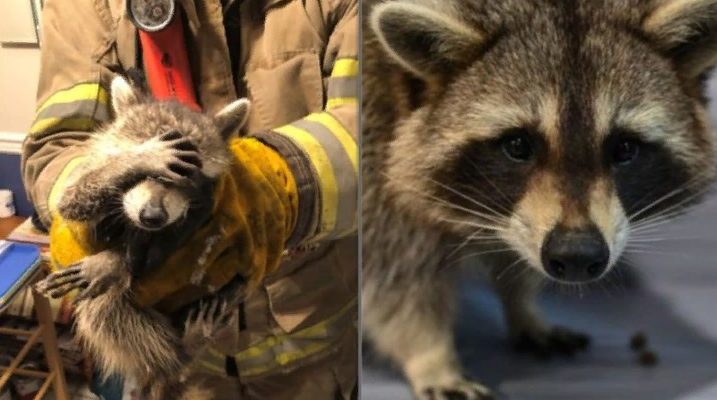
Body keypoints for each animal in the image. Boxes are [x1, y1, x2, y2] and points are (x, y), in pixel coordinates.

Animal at [35, 76, 252, 400]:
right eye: (137, 174)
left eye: (189, 176)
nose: (152, 216)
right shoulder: (84, 185)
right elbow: (73, 199)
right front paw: (138, 159)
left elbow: (172, 241)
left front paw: (117, 260)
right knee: (106, 311)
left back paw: (187, 348)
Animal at [364, 1, 716, 398]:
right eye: (518, 145)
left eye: (625, 148)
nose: (576, 256)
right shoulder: (373, 132)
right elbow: (394, 274)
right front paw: (430, 354)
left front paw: (522, 304)